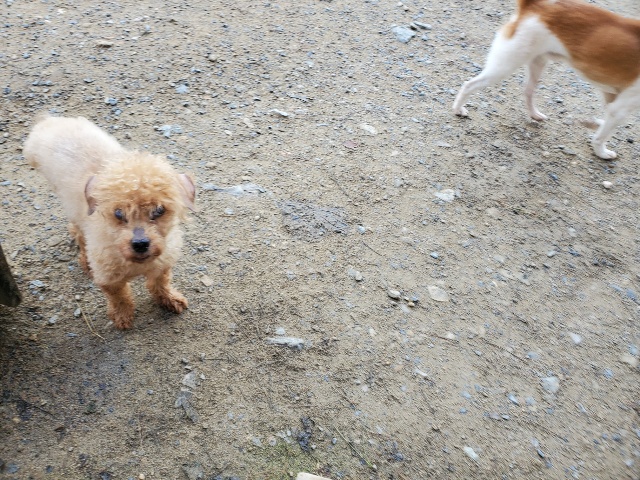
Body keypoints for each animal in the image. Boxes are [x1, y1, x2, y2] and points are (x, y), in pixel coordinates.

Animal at [24, 115, 195, 330]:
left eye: (158, 210)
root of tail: (49, 121)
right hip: (71, 207)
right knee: (78, 233)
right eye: (118, 213)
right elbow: (119, 298)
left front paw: (170, 299)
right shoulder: (109, 280)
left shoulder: (162, 265)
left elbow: (160, 284)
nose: (140, 244)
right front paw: (122, 316)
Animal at [453, 0, 640, 159]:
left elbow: (605, 121)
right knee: (469, 85)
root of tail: (534, 5)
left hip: (537, 62)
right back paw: (458, 109)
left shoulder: (611, 94)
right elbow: (602, 135)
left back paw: (535, 114)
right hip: (504, 66)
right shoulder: (620, 108)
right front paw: (602, 152)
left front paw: (595, 124)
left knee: (527, 91)